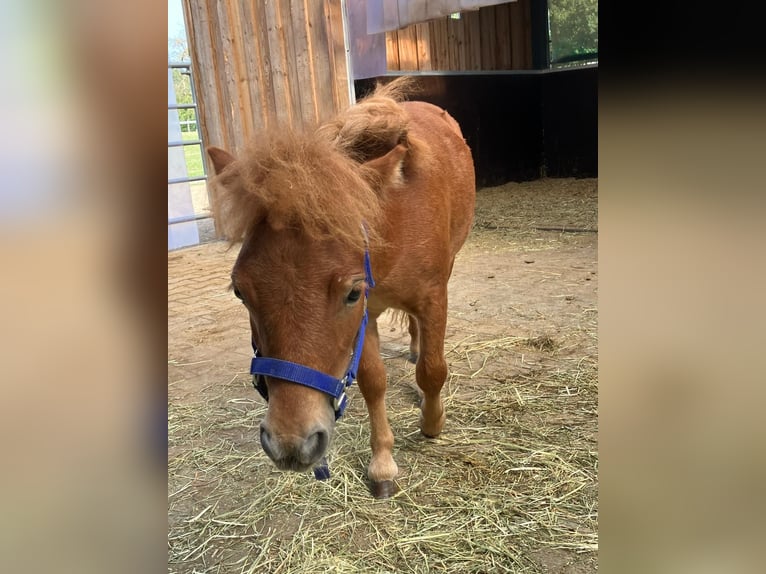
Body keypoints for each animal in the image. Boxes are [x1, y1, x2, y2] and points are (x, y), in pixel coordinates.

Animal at [207, 80, 476, 500]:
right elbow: (373, 382)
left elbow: (433, 371)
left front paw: (432, 422)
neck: (395, 225)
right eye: (240, 292)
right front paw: (383, 463)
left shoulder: (431, 298)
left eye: (351, 292)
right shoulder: (366, 318)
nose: (290, 443)